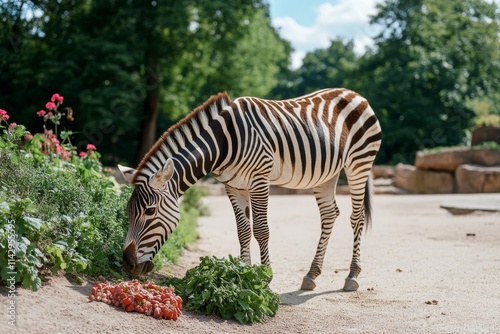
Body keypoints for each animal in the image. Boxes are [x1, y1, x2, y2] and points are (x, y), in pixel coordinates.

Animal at [118, 87, 382, 290]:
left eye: (150, 211)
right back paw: (311, 274)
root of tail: (354, 93)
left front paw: (265, 277)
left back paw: (352, 275)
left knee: (357, 217)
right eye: (128, 212)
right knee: (329, 215)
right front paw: (242, 273)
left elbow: (262, 230)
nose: (128, 264)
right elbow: (243, 231)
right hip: (326, 174)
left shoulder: (259, 181)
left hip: (359, 163)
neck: (223, 144)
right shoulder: (233, 186)